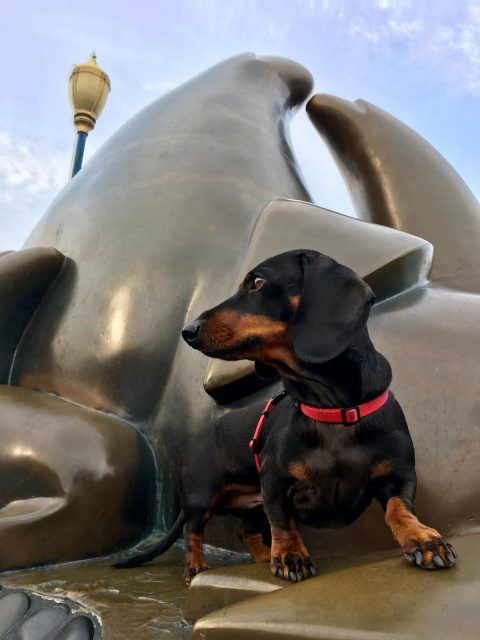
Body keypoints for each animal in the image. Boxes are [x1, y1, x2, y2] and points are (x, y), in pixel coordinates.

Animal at [118, 249, 456, 580]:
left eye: (257, 282)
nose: (188, 331)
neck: (332, 410)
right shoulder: (275, 483)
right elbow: (283, 522)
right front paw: (290, 555)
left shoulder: (398, 475)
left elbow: (400, 509)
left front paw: (423, 539)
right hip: (202, 498)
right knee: (193, 531)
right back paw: (196, 567)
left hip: (251, 505)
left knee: (244, 531)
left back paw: (259, 558)